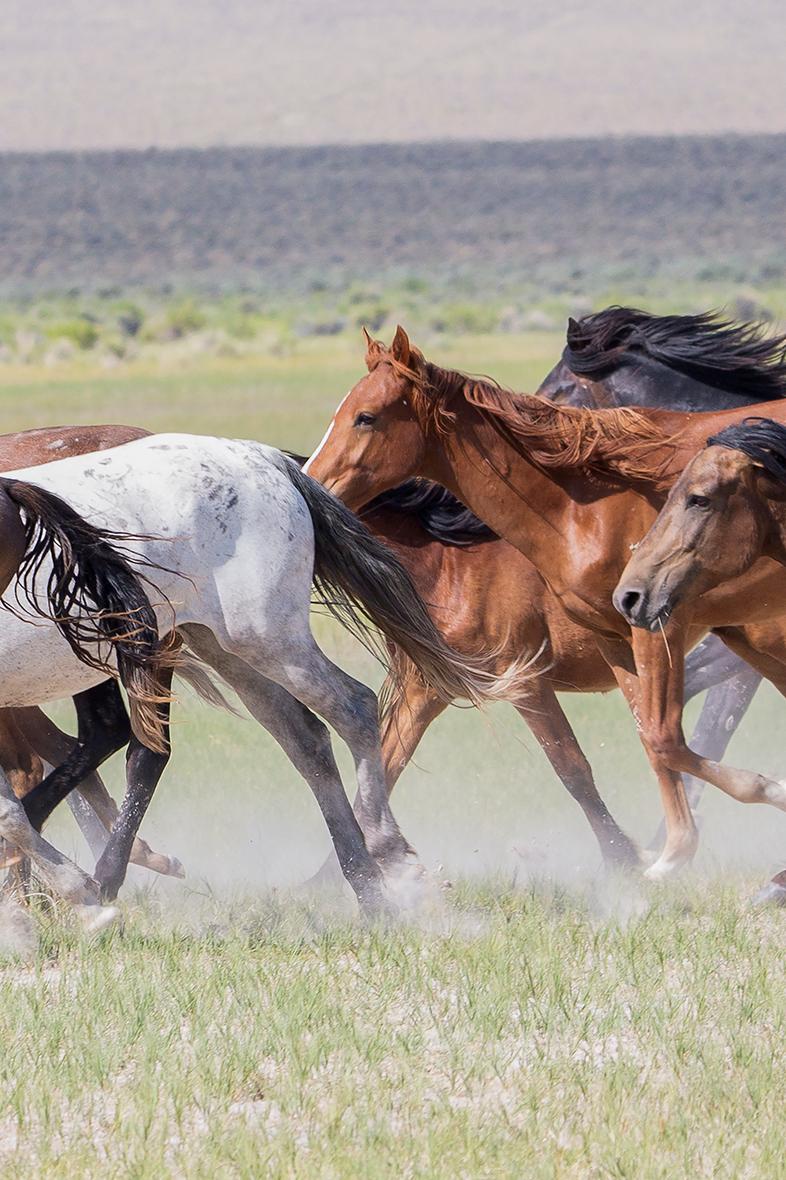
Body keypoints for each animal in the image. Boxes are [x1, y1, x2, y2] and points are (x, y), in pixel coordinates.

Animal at [302, 328, 786, 882]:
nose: (311, 483)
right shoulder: (434, 685)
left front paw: (640, 857)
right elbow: (385, 763)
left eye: (366, 416)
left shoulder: (551, 668)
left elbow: (595, 760)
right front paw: (335, 877)